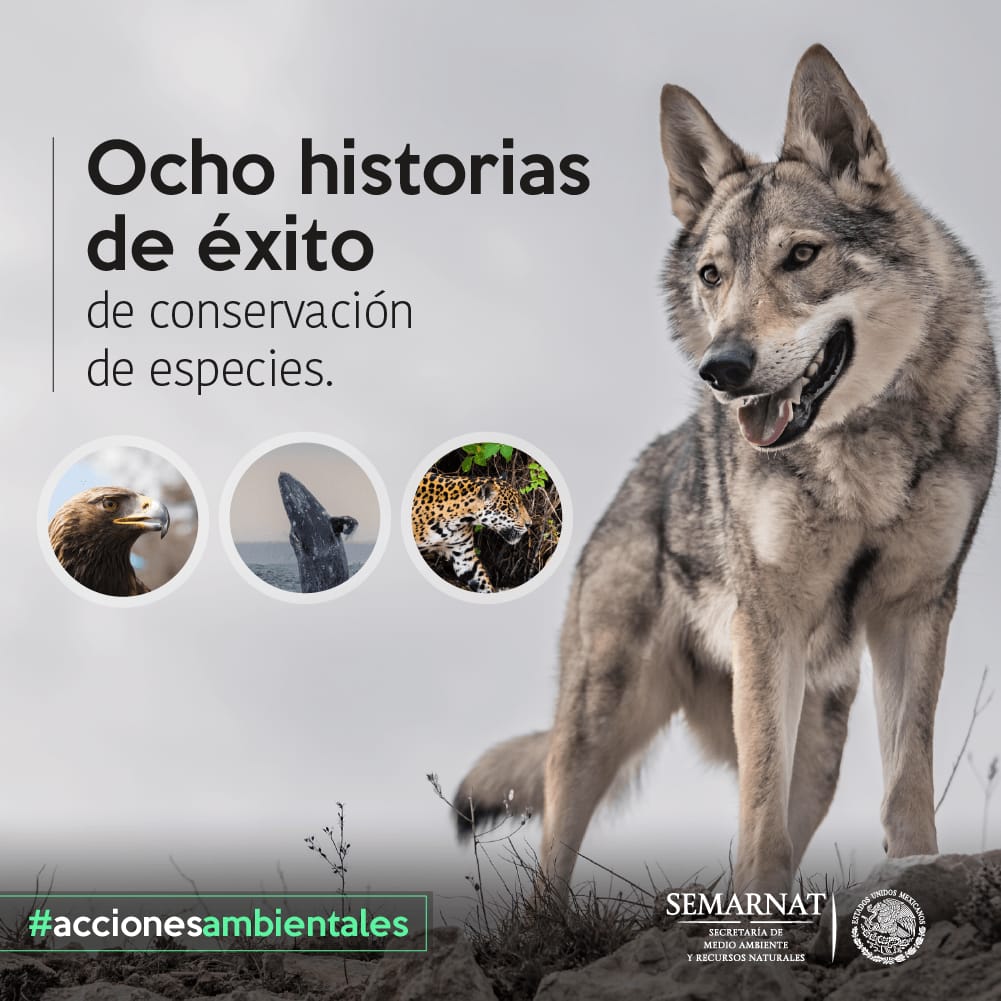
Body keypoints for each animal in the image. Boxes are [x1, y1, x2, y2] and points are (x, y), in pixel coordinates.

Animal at [456, 44, 999, 897]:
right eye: (712, 274)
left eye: (800, 256)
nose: (722, 369)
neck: (860, 453)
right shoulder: (766, 619)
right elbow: (757, 801)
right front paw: (757, 902)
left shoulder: (914, 608)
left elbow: (906, 779)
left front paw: (918, 869)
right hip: (600, 719)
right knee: (553, 854)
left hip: (819, 742)